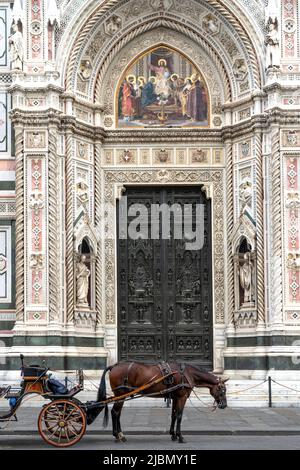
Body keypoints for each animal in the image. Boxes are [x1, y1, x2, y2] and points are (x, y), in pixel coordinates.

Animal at [86, 364, 227, 444]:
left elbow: (174, 415)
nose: (224, 405)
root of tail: (113, 366)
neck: (186, 374)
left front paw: (173, 434)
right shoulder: (182, 397)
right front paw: (180, 436)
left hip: (121, 396)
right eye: (223, 390)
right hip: (121, 394)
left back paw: (120, 435)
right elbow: (179, 416)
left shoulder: (175, 397)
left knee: (117, 413)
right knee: (115, 413)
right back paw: (118, 435)